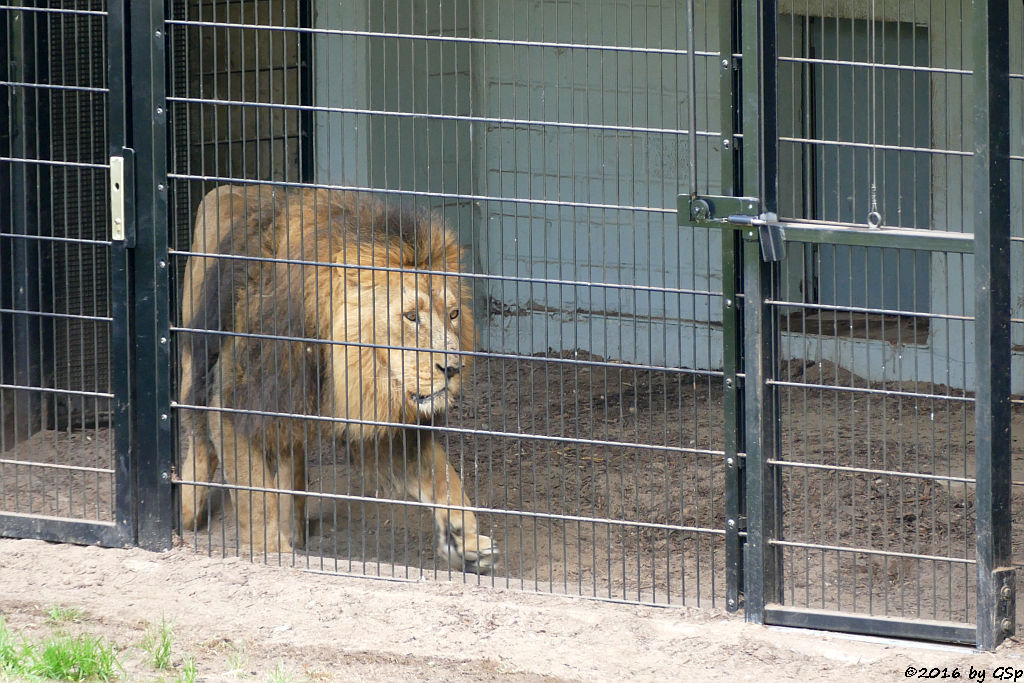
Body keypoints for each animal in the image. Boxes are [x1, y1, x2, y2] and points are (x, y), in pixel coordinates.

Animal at [178, 184, 501, 573]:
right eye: (411, 316)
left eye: (453, 314)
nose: (452, 368)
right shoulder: (235, 401)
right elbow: (255, 496)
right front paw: (272, 551)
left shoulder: (378, 415)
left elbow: (441, 473)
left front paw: (464, 537)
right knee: (197, 433)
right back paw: (187, 510)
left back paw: (295, 525)